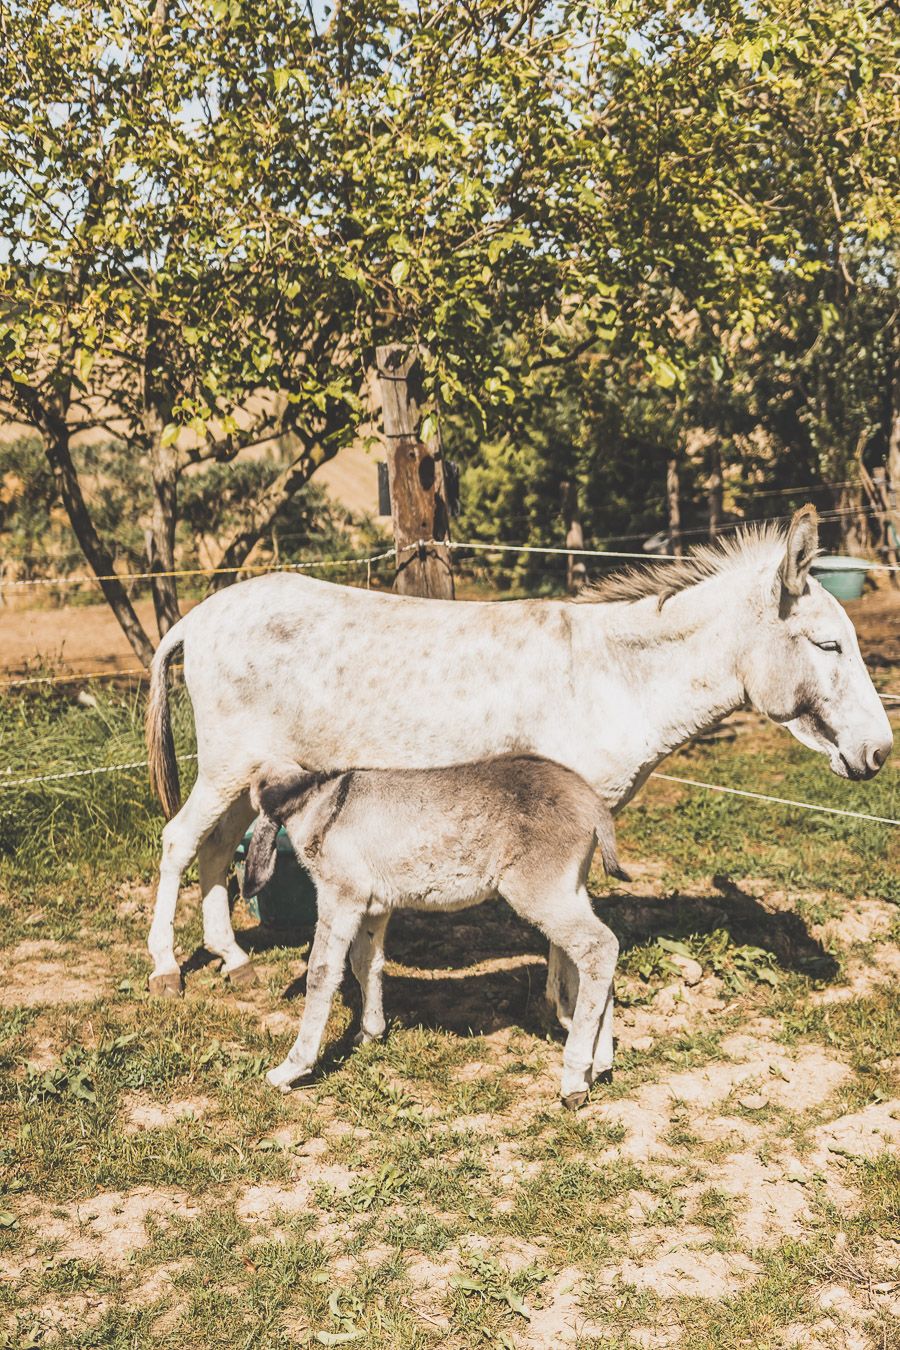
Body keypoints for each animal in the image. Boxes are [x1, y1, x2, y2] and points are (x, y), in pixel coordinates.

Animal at [244, 756, 626, 1101]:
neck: (319, 800)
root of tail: (590, 800)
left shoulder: (341, 897)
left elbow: (321, 973)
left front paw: (290, 1069)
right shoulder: (374, 907)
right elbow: (365, 963)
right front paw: (371, 1032)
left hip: (539, 890)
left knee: (599, 946)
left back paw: (574, 1078)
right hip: (570, 889)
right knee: (595, 956)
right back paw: (599, 1064)